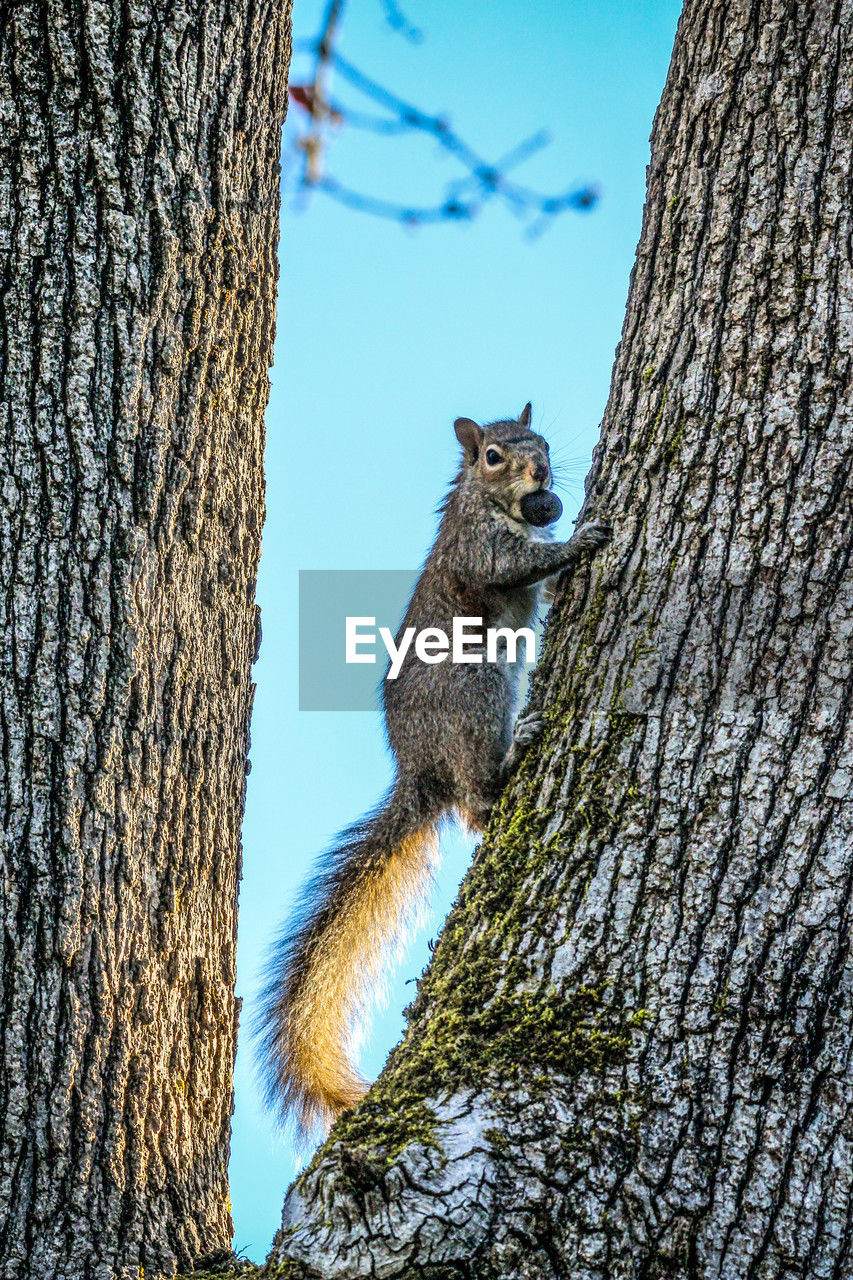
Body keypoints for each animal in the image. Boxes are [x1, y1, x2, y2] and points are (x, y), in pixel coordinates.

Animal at [256, 404, 607, 1136]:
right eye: (493, 455)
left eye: (542, 441)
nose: (541, 472)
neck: (492, 504)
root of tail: (421, 773)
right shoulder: (481, 551)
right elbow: (521, 563)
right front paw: (582, 539)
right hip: (476, 693)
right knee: (475, 805)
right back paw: (513, 752)